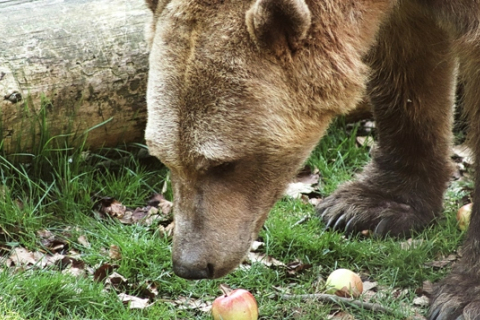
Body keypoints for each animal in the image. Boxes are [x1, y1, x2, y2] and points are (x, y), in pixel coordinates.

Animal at [144, 0, 480, 318]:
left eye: (222, 164)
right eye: (164, 157)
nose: (191, 265)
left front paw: (462, 297)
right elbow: (407, 65)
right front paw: (369, 206)